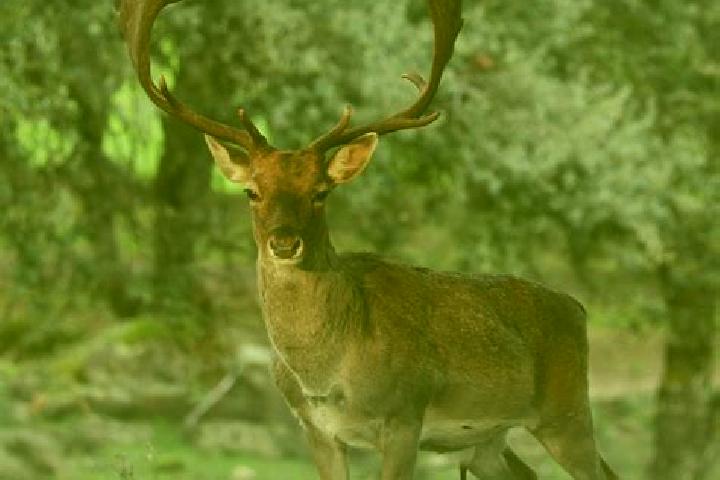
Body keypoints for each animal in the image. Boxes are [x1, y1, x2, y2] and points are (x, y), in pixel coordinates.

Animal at [119, 1, 619, 479]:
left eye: (320, 192)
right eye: (251, 191)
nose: (285, 243)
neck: (326, 376)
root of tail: (578, 308)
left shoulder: (405, 416)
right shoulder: (316, 429)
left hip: (567, 411)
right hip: (485, 440)